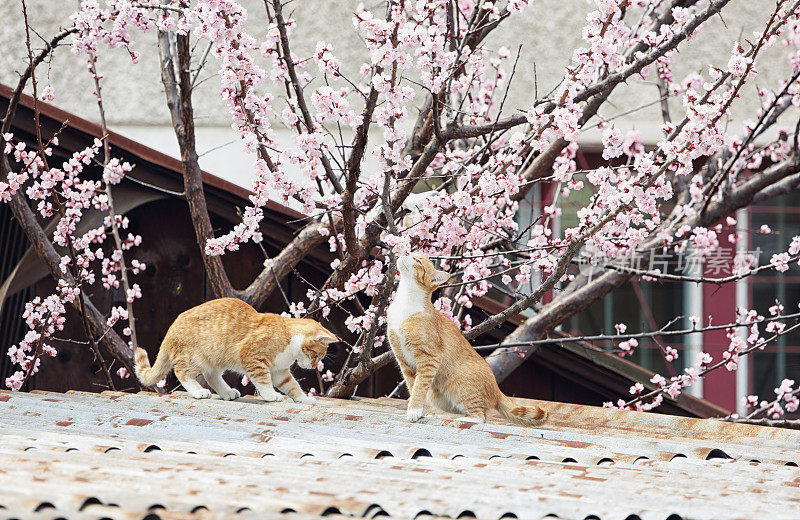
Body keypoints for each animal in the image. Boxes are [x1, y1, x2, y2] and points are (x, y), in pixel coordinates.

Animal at [136, 296, 336, 402]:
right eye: (316, 355)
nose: (313, 366)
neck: (288, 338)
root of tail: (171, 327)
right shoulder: (253, 359)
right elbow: (264, 381)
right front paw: (271, 395)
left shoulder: (280, 371)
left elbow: (293, 386)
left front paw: (304, 398)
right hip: (196, 357)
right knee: (181, 372)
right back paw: (198, 391)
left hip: (215, 360)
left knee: (212, 376)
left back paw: (227, 392)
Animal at [384, 253, 548, 426]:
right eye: (411, 253)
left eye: (418, 261)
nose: (405, 253)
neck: (405, 303)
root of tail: (497, 390)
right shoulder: (403, 361)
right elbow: (412, 386)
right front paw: (417, 409)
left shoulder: (429, 358)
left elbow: (419, 386)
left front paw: (414, 410)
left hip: (462, 388)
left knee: (480, 416)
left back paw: (462, 418)